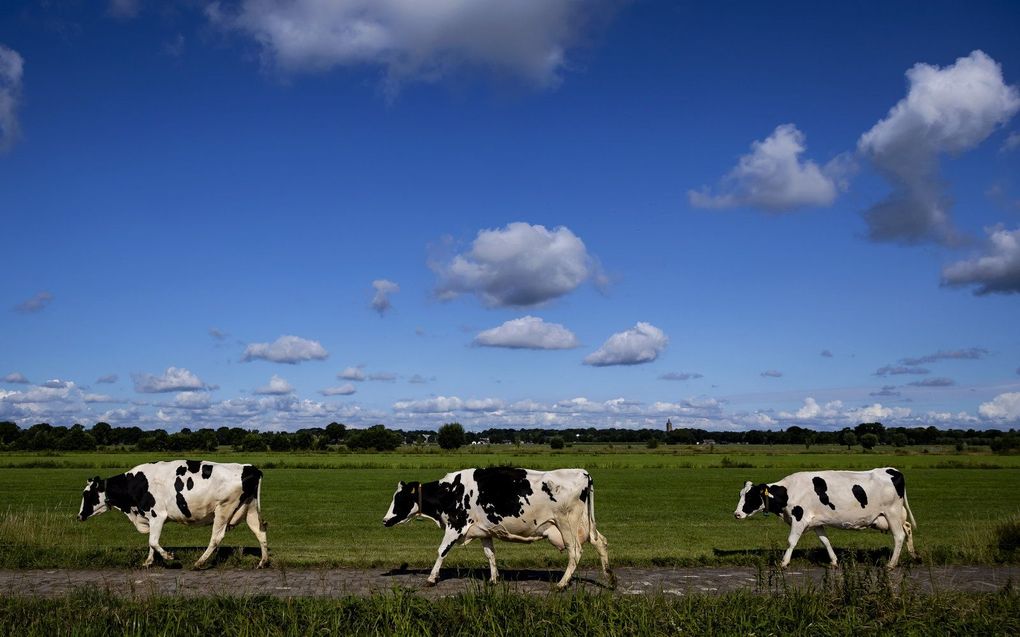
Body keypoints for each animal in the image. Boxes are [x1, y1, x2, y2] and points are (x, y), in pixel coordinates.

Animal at [77, 458, 269, 570]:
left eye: (87, 494)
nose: (79, 516)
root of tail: (249, 467)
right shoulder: (150, 517)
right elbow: (151, 542)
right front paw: (148, 561)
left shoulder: (157, 515)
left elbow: (153, 541)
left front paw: (169, 557)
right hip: (250, 508)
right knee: (260, 532)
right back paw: (263, 561)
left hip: (224, 508)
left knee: (216, 537)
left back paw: (199, 562)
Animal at [379, 464, 607, 587]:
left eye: (399, 499)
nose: (384, 520)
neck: (451, 491)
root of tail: (582, 472)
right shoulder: (484, 531)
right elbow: (490, 554)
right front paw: (493, 579)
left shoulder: (456, 525)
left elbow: (442, 551)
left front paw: (431, 578)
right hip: (585, 524)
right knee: (601, 543)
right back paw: (609, 579)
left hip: (566, 523)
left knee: (575, 551)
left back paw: (562, 584)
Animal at [734, 466, 918, 566]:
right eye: (740, 494)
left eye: (750, 497)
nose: (736, 514)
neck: (790, 491)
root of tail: (892, 470)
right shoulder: (816, 522)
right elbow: (825, 541)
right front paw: (834, 561)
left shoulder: (799, 518)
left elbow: (791, 541)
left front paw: (784, 562)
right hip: (894, 516)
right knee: (907, 528)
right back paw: (914, 555)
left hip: (892, 513)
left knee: (899, 536)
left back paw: (891, 564)